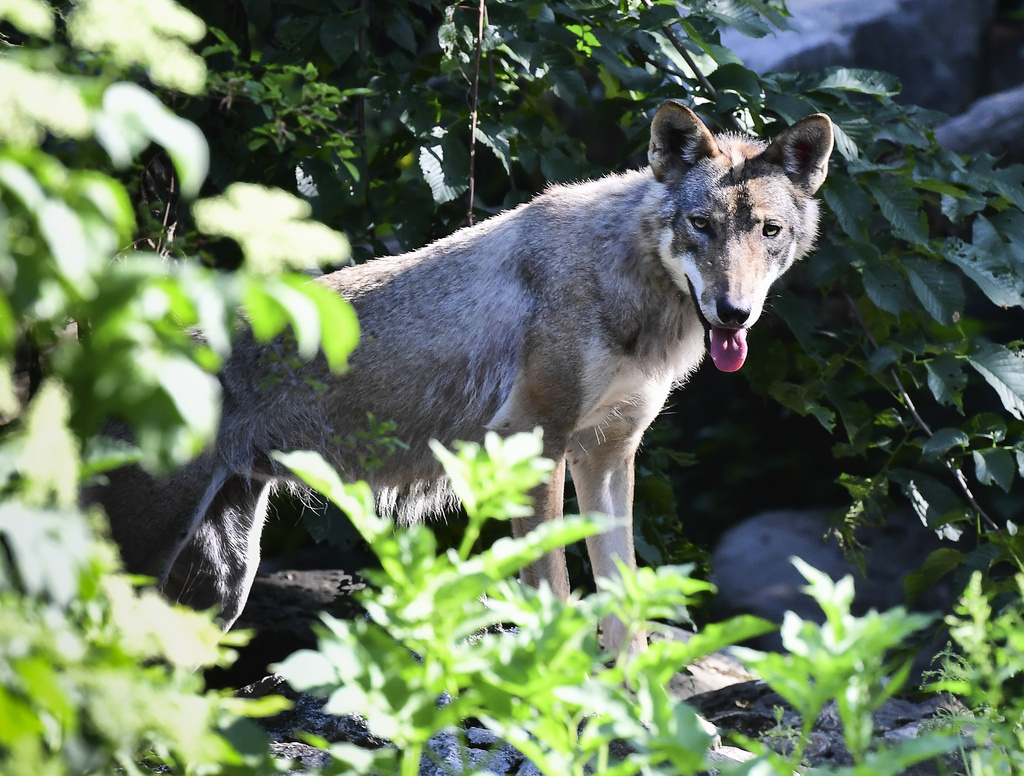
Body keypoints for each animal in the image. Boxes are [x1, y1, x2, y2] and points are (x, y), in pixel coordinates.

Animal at [92, 100, 831, 655]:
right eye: (701, 225)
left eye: (768, 230)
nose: (733, 311)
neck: (628, 284)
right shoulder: (534, 445)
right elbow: (556, 595)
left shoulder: (608, 454)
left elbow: (624, 602)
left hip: (223, 585)